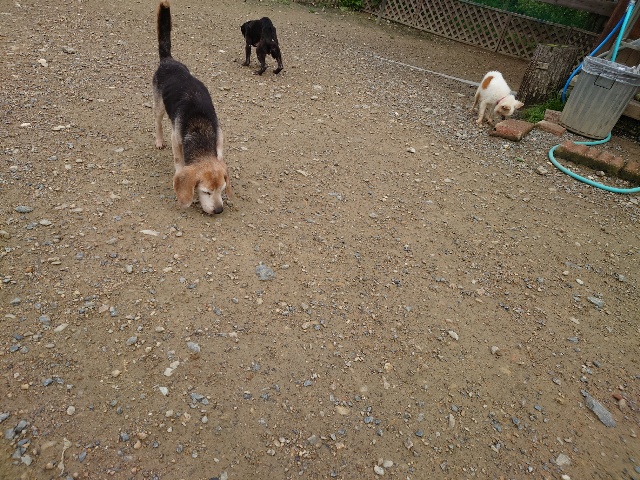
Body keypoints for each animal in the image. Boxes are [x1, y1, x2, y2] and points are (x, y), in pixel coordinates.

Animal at [152, 0, 232, 215]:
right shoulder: (176, 139)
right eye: (205, 192)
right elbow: (179, 163)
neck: (201, 132)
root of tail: (168, 60)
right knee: (158, 123)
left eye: (222, 189)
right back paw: (158, 140)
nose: (218, 211)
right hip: (159, 105)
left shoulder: (220, 137)